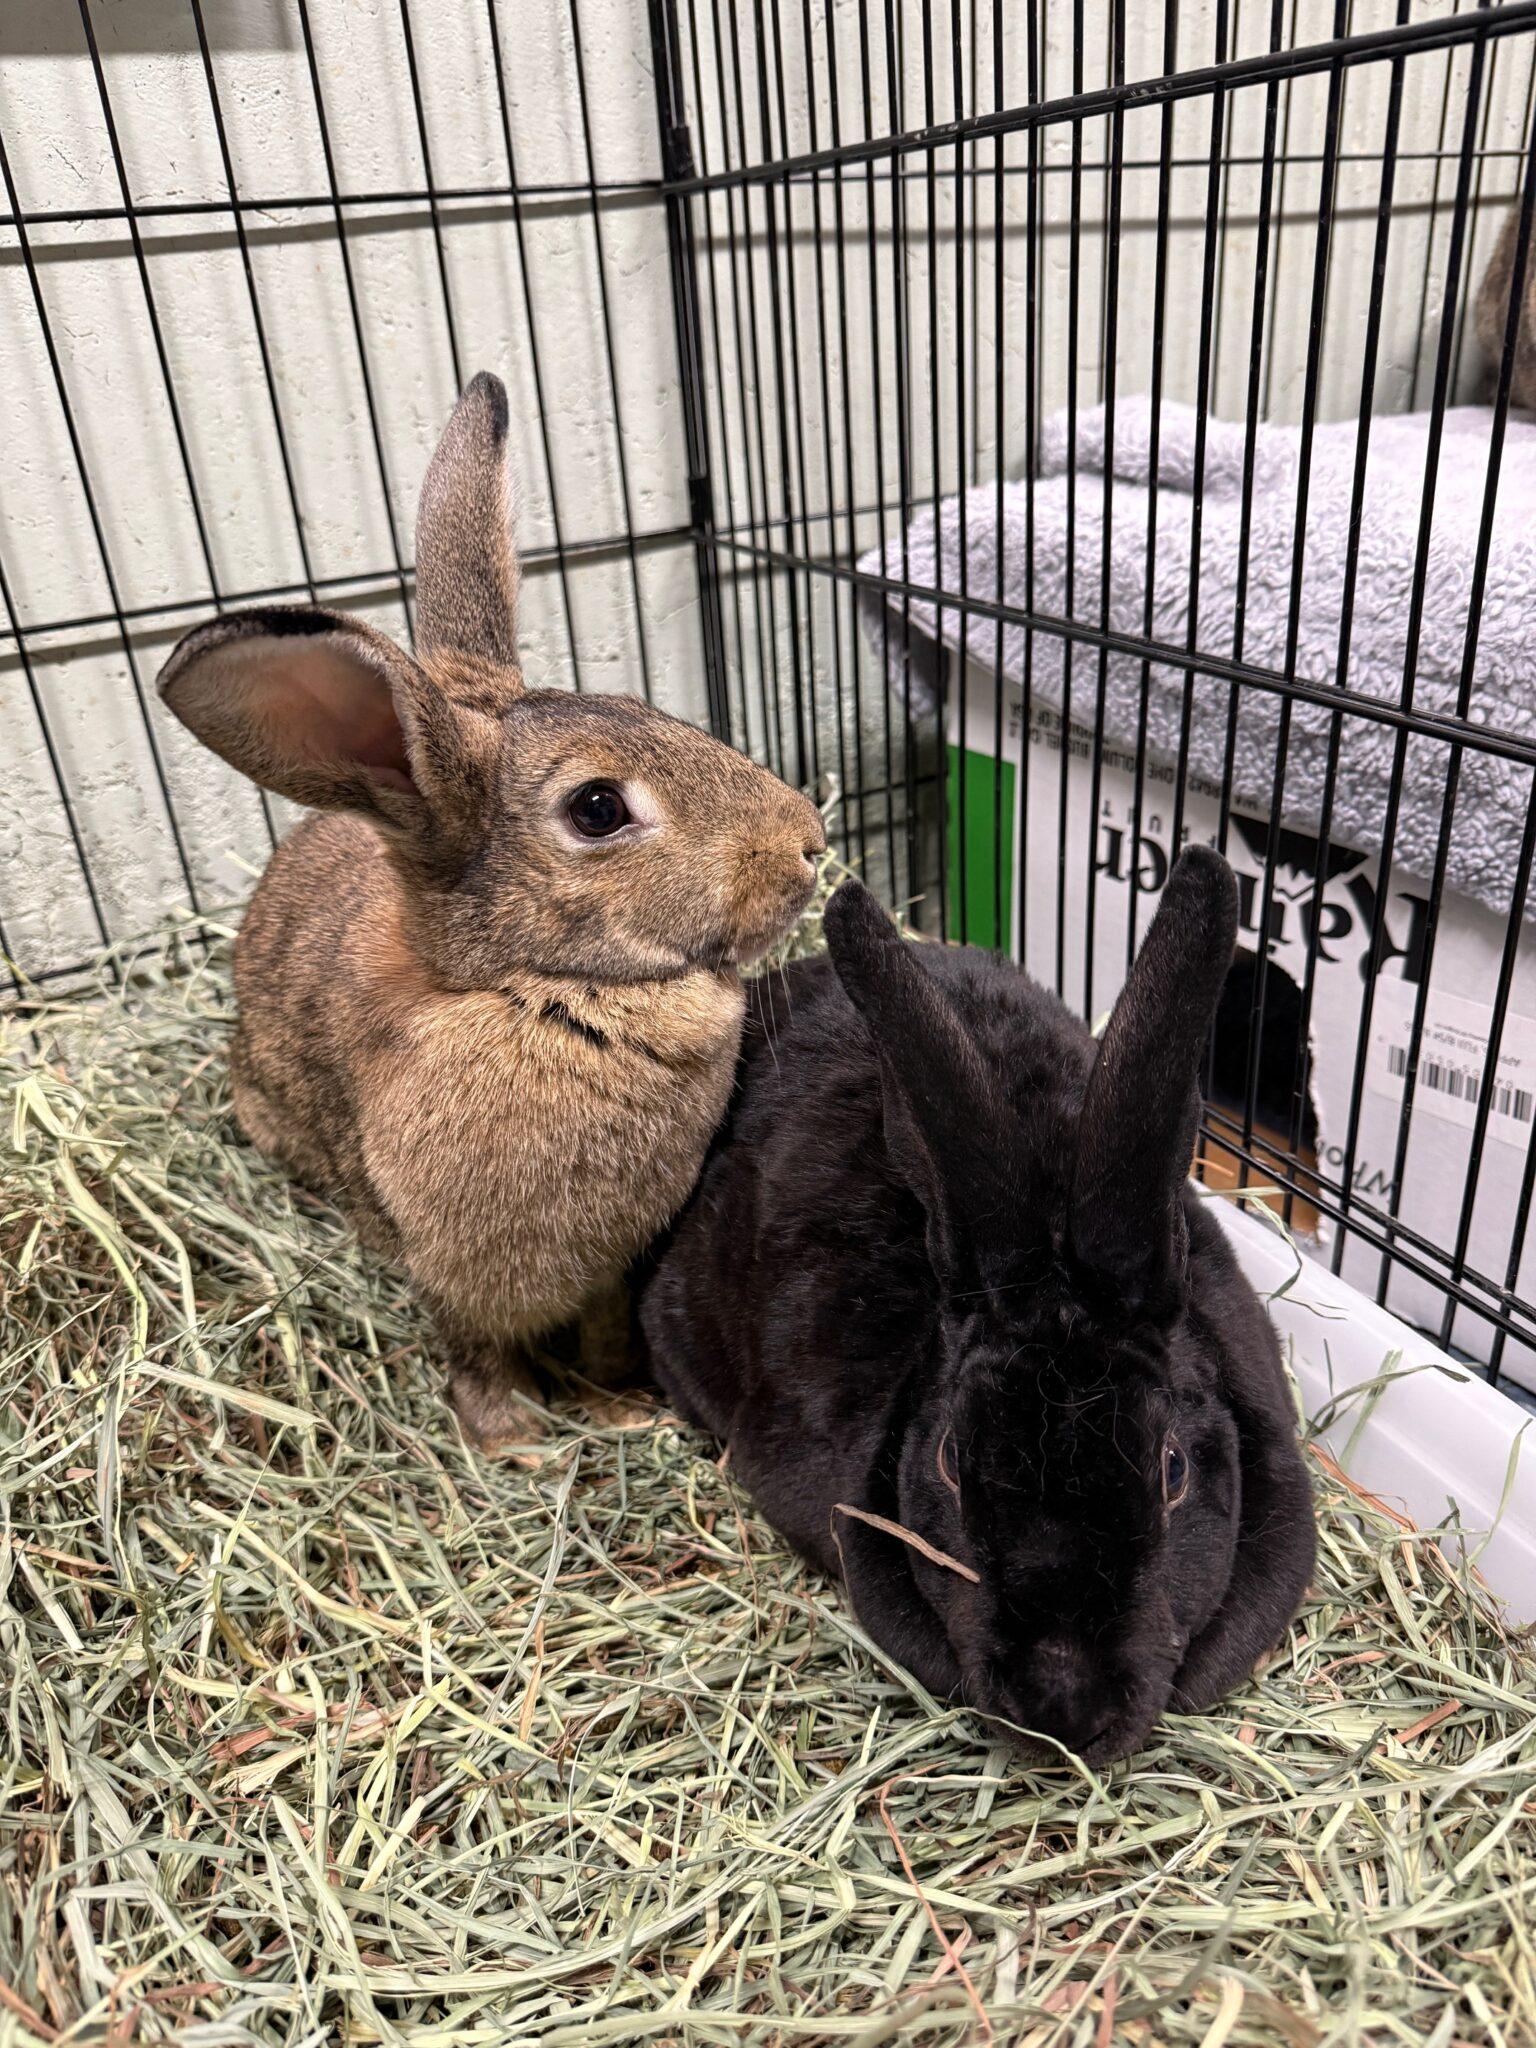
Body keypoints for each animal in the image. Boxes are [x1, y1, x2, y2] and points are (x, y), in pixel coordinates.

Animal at [158, 371, 826, 1446]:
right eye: (596, 808)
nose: (809, 839)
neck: (541, 989)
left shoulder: (611, 1266)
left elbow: (603, 1327)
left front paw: (620, 1404)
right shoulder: (447, 1271)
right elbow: (473, 1348)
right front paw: (516, 1442)